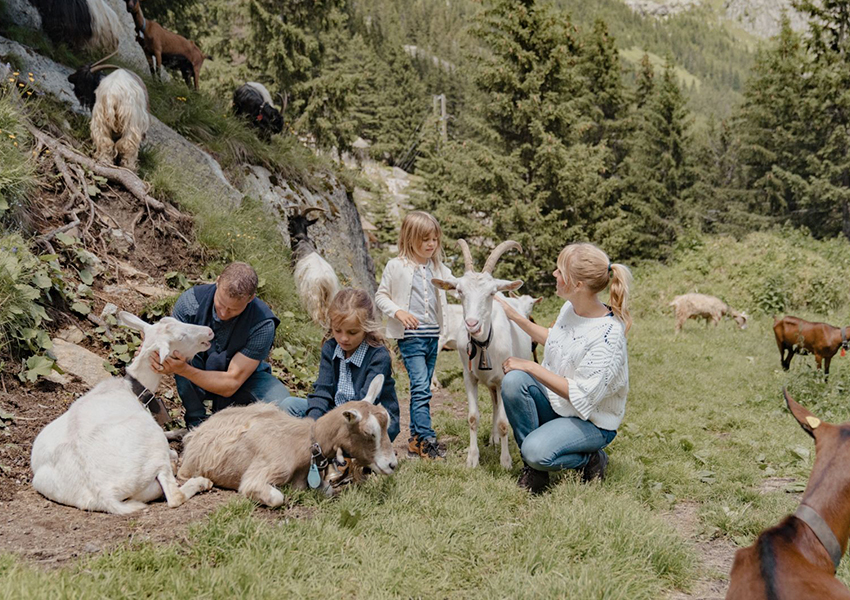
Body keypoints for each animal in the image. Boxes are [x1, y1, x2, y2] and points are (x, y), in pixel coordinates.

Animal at [29, 312, 215, 512]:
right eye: (181, 337)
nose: (209, 332)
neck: (131, 390)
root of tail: (104, 495)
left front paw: (180, 431)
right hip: (152, 442)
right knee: (174, 496)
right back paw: (200, 481)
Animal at [179, 376, 398, 506]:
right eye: (368, 432)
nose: (392, 465)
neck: (301, 444)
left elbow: (327, 490)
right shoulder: (261, 474)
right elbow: (277, 497)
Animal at [430, 239, 528, 468]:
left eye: (490, 293)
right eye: (459, 291)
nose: (472, 324)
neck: (485, 344)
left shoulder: (503, 378)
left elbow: (504, 422)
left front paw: (506, 462)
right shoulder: (469, 377)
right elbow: (473, 417)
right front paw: (472, 458)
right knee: (493, 403)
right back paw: (493, 438)